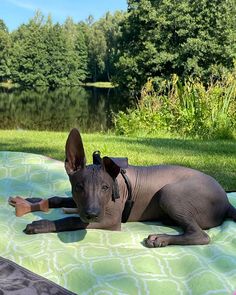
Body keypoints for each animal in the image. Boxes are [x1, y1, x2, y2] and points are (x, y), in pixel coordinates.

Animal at [9, 129, 236, 247]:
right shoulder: (81, 203)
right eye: (79, 187)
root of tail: (226, 202)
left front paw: (41, 224)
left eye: (105, 188)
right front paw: (33, 201)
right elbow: (58, 199)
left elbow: (71, 219)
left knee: (201, 235)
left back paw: (160, 238)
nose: (92, 214)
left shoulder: (109, 220)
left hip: (169, 193)